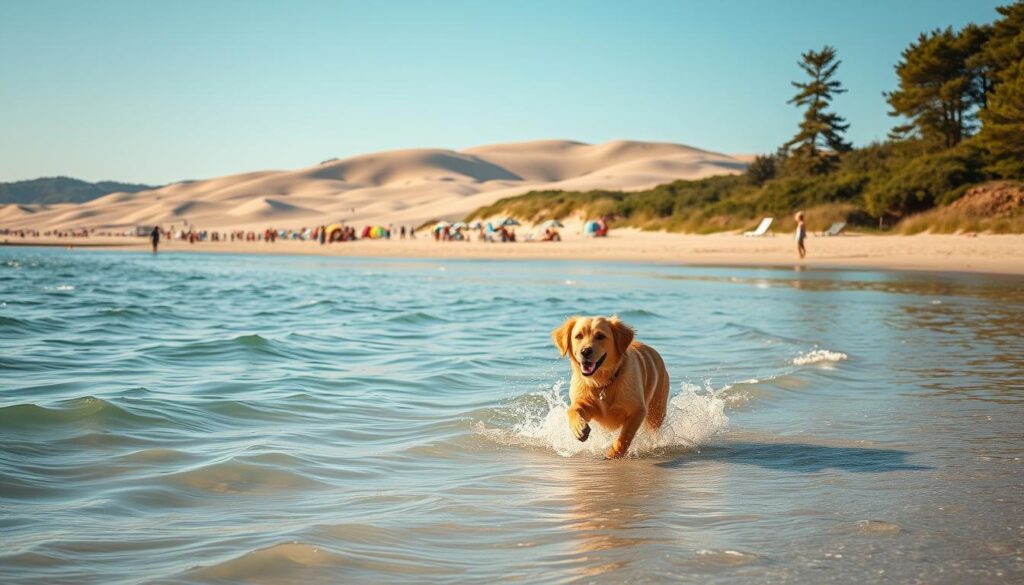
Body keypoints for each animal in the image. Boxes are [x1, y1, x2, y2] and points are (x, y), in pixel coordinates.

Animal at [552, 315, 671, 456]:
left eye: (600, 336)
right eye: (579, 336)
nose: (585, 351)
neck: (602, 383)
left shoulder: (638, 410)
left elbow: (624, 438)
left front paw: (613, 454)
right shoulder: (586, 404)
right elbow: (572, 409)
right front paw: (579, 428)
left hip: (656, 412)